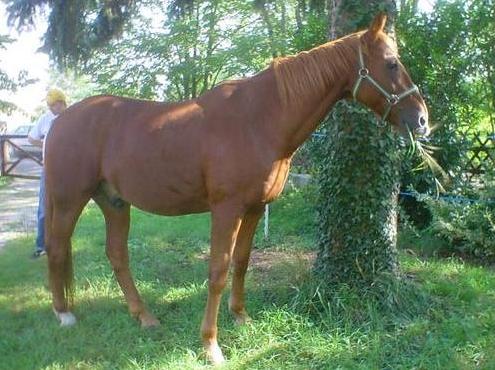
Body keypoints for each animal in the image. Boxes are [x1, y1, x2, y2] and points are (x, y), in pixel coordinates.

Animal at [44, 15, 428, 364]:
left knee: (117, 255)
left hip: (114, 202)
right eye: (392, 63)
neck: (258, 119)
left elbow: (242, 261)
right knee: (57, 248)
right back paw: (64, 314)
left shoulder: (255, 207)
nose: (422, 120)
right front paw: (211, 345)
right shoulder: (225, 210)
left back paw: (144, 317)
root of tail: (62, 120)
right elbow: (218, 271)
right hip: (69, 200)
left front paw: (241, 317)